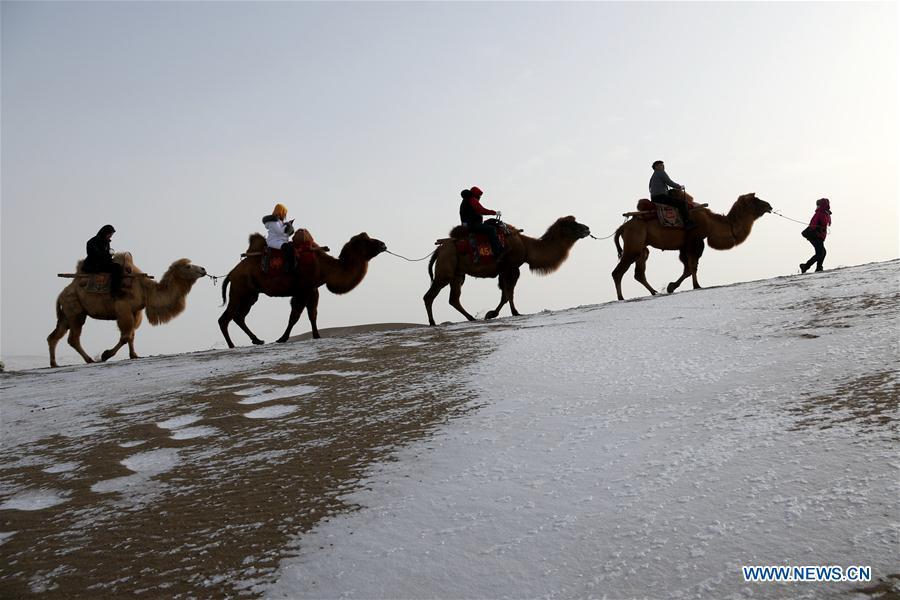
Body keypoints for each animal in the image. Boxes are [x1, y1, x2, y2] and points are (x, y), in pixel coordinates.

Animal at [48, 255, 207, 368]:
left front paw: (134, 355)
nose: (203, 269)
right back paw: (90, 359)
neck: (145, 290)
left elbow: (132, 335)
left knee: (54, 336)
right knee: (73, 338)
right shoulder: (123, 309)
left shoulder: (135, 312)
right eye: (188, 266)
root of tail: (61, 294)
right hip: (75, 311)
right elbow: (125, 336)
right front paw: (105, 355)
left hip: (67, 314)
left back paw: (54, 363)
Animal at [221, 232, 386, 350]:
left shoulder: (313, 289)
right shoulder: (303, 290)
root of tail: (231, 273)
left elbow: (312, 314)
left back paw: (257, 340)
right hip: (240, 290)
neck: (325, 268)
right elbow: (295, 316)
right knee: (225, 318)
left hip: (250, 294)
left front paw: (317, 335)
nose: (383, 244)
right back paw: (232, 345)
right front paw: (282, 338)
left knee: (238, 316)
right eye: (365, 241)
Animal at [424, 216, 592, 326]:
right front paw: (507, 313)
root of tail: (439, 250)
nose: (587, 228)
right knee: (429, 296)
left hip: (457, 274)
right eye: (572, 224)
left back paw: (471, 318)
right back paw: (432, 322)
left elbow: (506, 293)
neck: (526, 246)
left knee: (454, 298)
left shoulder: (505, 270)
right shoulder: (510, 267)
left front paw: (493, 314)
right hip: (445, 270)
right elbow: (508, 293)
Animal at [612, 192, 772, 300]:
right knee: (618, 271)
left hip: (641, 246)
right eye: (757, 200)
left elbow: (688, 268)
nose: (769, 205)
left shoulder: (684, 245)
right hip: (634, 241)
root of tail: (623, 227)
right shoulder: (695, 240)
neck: (712, 223)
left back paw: (653, 292)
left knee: (639, 271)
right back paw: (621, 297)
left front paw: (671, 286)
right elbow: (693, 266)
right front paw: (697, 286)